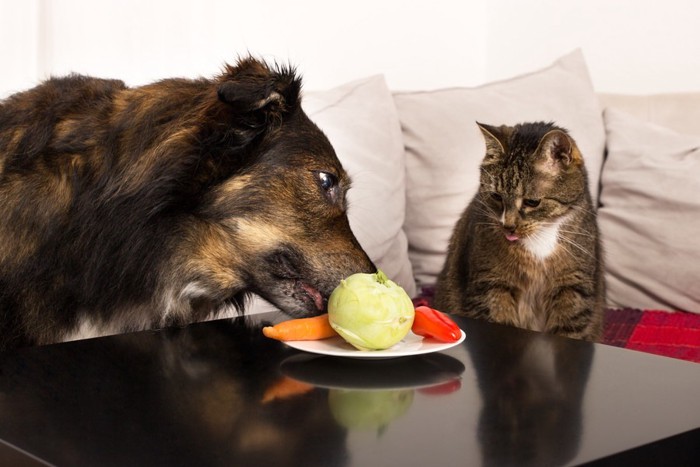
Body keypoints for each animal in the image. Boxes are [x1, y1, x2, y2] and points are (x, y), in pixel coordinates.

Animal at [434, 121, 604, 340]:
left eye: (532, 202)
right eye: (496, 196)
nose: (508, 226)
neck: (540, 239)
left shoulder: (573, 286)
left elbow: (570, 328)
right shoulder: (491, 285)